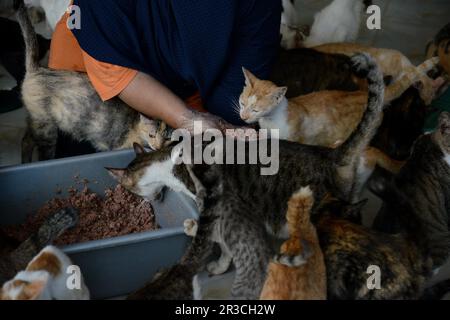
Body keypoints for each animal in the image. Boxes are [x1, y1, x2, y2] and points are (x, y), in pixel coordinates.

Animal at [16, 1, 169, 162]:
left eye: (166, 138)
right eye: (151, 135)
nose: (158, 147)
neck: (134, 125)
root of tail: (38, 68)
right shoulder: (119, 145)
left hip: (37, 122)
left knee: (26, 140)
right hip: (46, 127)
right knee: (40, 149)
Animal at [108, 53, 384, 300]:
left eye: (131, 190)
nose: (148, 201)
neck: (167, 163)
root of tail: (329, 153)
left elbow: (219, 240)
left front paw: (210, 251)